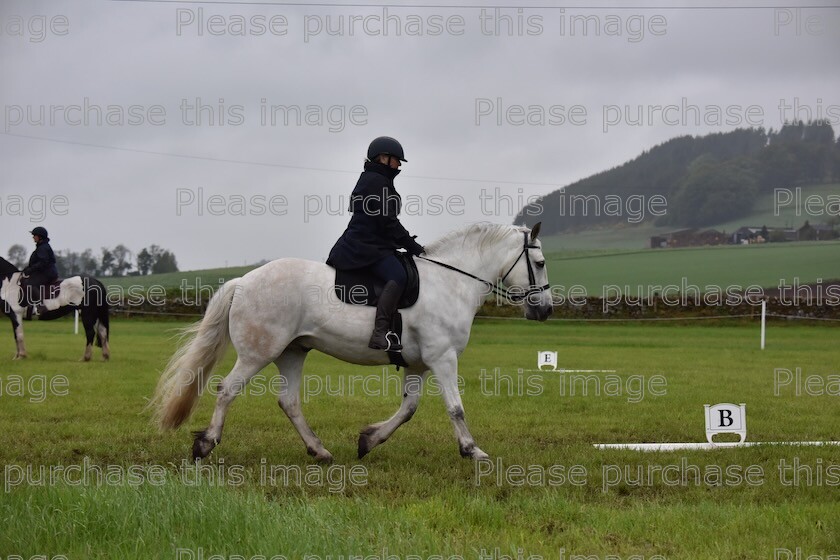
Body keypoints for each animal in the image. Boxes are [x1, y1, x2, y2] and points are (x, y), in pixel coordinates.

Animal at [154, 221, 556, 462]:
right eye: (539, 262)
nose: (546, 310)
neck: (451, 282)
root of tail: (243, 281)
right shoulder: (443, 359)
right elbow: (455, 408)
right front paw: (473, 451)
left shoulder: (419, 364)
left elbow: (409, 409)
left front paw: (369, 440)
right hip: (258, 353)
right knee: (227, 390)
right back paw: (205, 444)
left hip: (292, 352)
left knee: (289, 401)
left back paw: (319, 450)